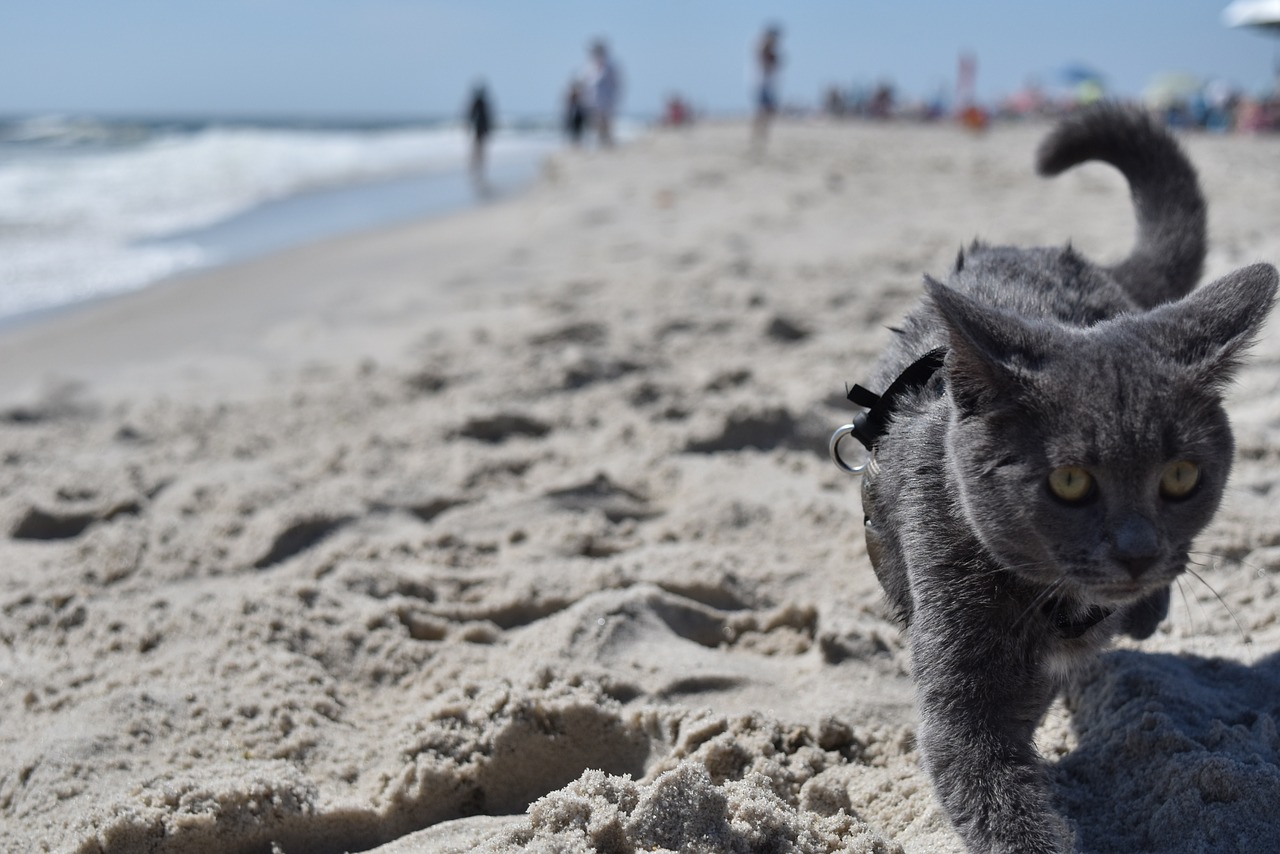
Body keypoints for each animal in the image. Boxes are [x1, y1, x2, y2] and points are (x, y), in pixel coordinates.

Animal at [829, 101, 1280, 854]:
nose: (1137, 550)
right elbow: (988, 780)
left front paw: (1146, 601)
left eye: (1181, 475)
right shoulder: (961, 663)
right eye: (1069, 482)